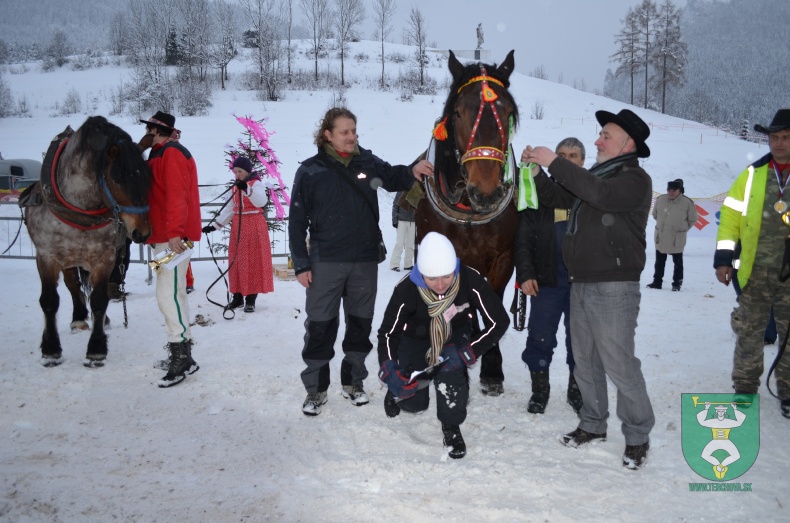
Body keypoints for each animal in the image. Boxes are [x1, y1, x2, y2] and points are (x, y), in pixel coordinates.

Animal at [22, 116, 152, 366]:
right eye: (117, 179)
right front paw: (51, 350)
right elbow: (50, 301)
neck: (80, 207)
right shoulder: (46, 257)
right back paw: (79, 318)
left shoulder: (104, 257)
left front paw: (96, 348)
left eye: (147, 180)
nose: (143, 232)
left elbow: (99, 300)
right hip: (68, 258)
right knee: (72, 285)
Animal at [418, 50, 524, 398]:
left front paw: (491, 367)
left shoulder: (504, 259)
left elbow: (493, 301)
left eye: (508, 113)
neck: (468, 214)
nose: (486, 192)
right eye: (458, 112)